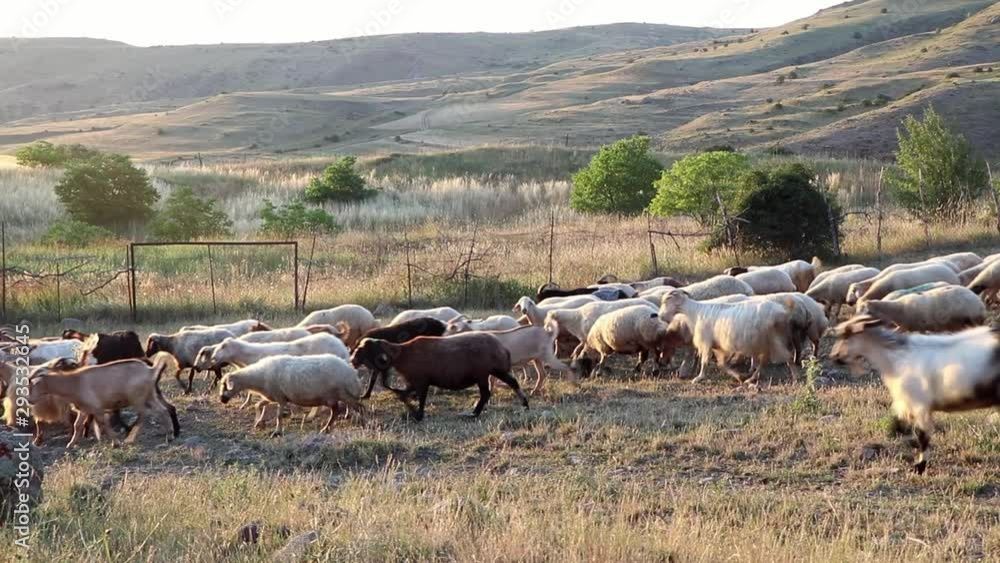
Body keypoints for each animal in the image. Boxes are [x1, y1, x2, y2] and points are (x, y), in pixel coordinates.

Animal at [26, 353, 180, 448]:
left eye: (32, 386)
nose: (29, 401)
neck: (74, 382)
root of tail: (150, 370)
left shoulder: (96, 408)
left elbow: (103, 423)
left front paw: (115, 443)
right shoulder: (84, 409)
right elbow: (77, 425)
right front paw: (71, 444)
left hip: (137, 397)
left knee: (144, 414)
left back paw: (130, 438)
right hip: (150, 395)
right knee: (162, 410)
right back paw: (170, 434)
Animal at [219, 354, 363, 436]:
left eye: (225, 385)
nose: (221, 399)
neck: (258, 377)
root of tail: (352, 373)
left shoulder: (281, 398)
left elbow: (278, 416)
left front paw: (277, 432)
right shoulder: (272, 396)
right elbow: (258, 405)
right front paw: (258, 422)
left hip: (343, 394)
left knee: (358, 408)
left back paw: (362, 424)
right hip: (332, 397)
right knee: (336, 411)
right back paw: (326, 429)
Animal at [350, 332, 528, 421]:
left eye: (363, 349)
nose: (352, 360)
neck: (403, 354)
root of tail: (503, 349)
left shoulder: (421, 381)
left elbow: (417, 397)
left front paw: (417, 415)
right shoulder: (415, 382)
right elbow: (404, 395)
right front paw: (413, 411)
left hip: (482, 373)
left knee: (486, 394)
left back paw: (473, 414)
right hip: (495, 371)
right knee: (513, 382)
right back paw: (525, 404)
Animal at [659, 290, 796, 384]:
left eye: (667, 301)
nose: (660, 316)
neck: (694, 312)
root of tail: (783, 312)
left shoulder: (706, 342)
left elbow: (704, 361)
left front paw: (699, 378)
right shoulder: (717, 345)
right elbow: (721, 364)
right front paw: (739, 376)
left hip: (772, 340)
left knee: (787, 357)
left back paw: (795, 377)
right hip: (766, 342)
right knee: (765, 361)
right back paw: (751, 378)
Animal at [830, 315, 1000, 474]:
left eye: (846, 336)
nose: (833, 357)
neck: (897, 358)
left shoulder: (920, 405)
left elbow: (922, 436)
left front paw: (920, 467)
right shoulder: (906, 405)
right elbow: (897, 425)